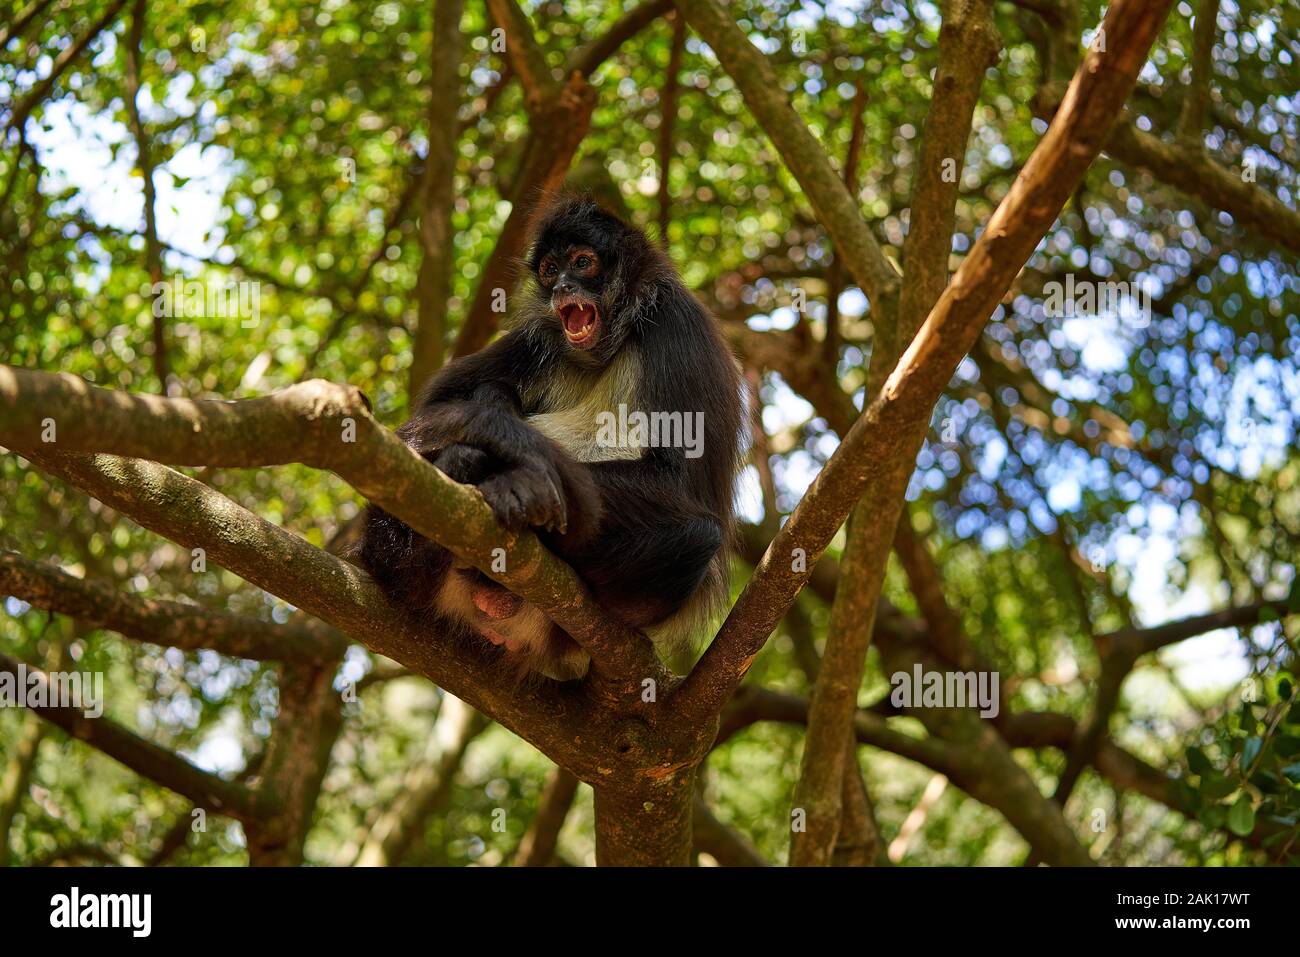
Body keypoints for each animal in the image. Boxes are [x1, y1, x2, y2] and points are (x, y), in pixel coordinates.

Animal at [358, 195, 743, 681]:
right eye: (549, 270)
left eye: (583, 263)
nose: (562, 287)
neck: (610, 346)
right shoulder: (541, 334)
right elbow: (438, 406)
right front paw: (493, 441)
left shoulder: (675, 323)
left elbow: (677, 481)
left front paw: (516, 472)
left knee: (699, 535)